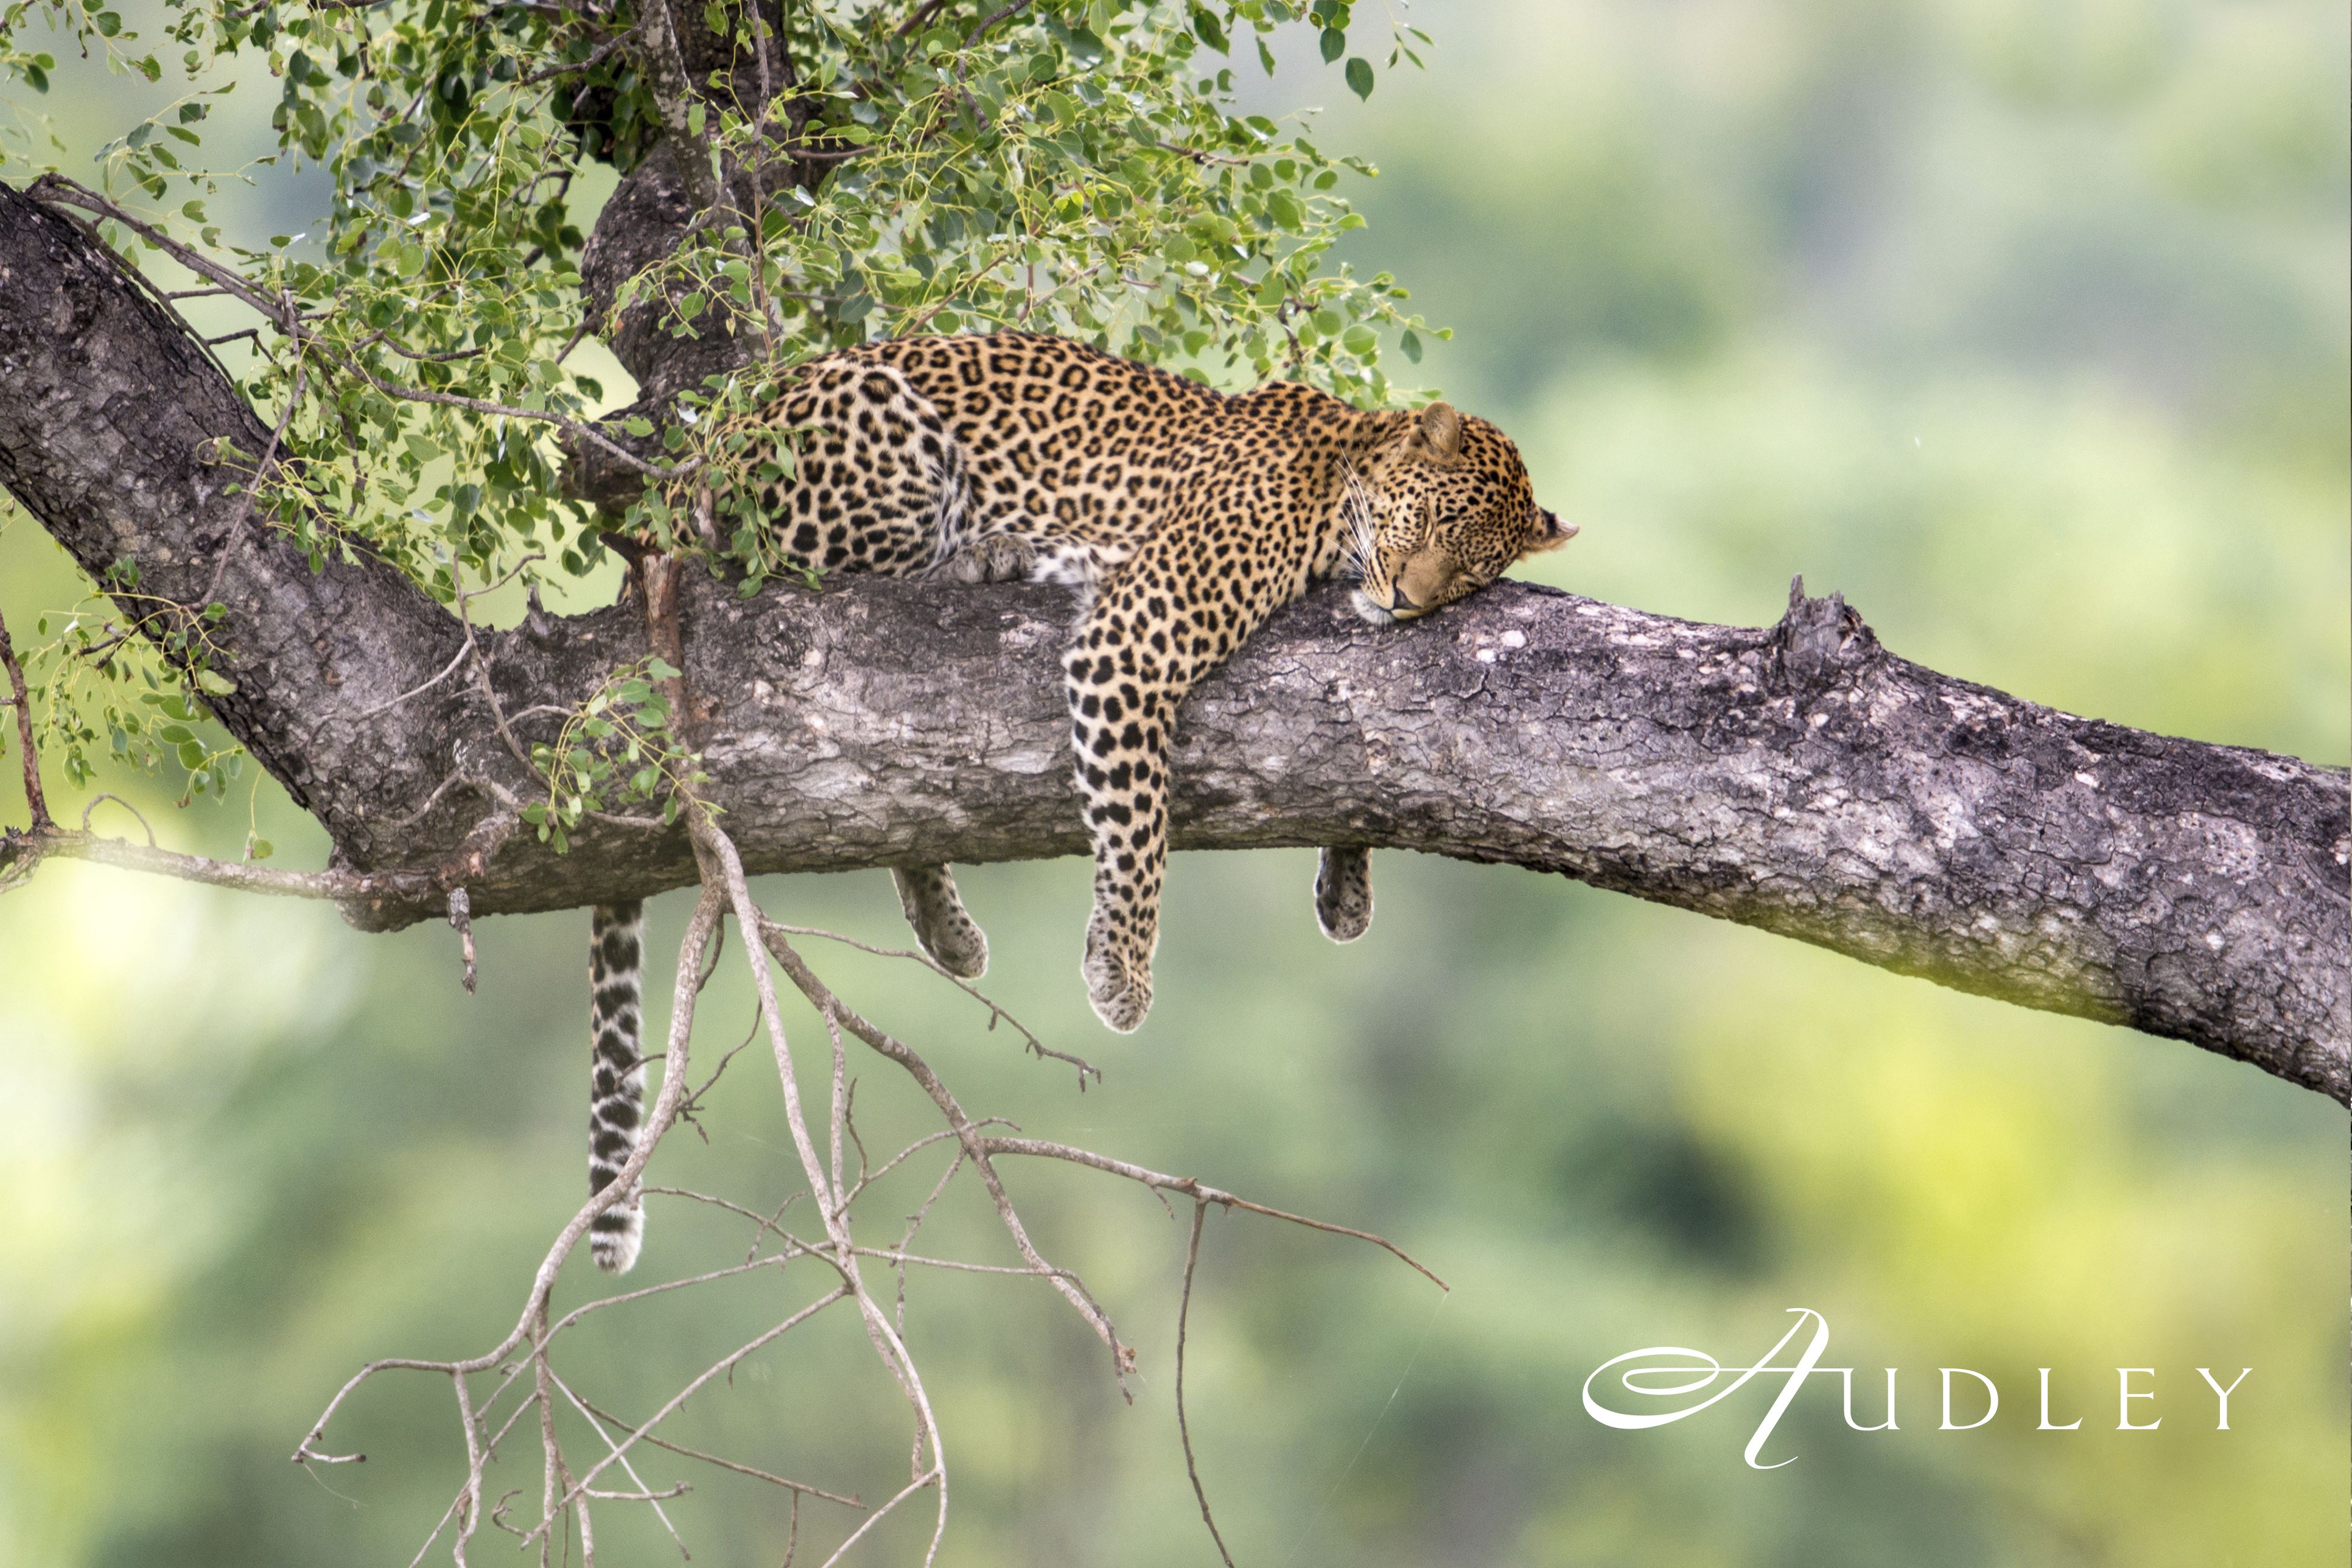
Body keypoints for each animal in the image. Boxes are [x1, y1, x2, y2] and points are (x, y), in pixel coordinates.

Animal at [585, 330, 1573, 1270]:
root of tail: (715, 443)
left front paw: (1347, 887)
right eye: (1434, 518)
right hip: (876, 452)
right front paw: (1122, 973)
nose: (1408, 602)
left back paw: (945, 922)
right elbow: (1139, 823)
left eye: (1472, 575)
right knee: (827, 579)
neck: (1340, 478)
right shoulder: (1134, 639)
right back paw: (992, 553)